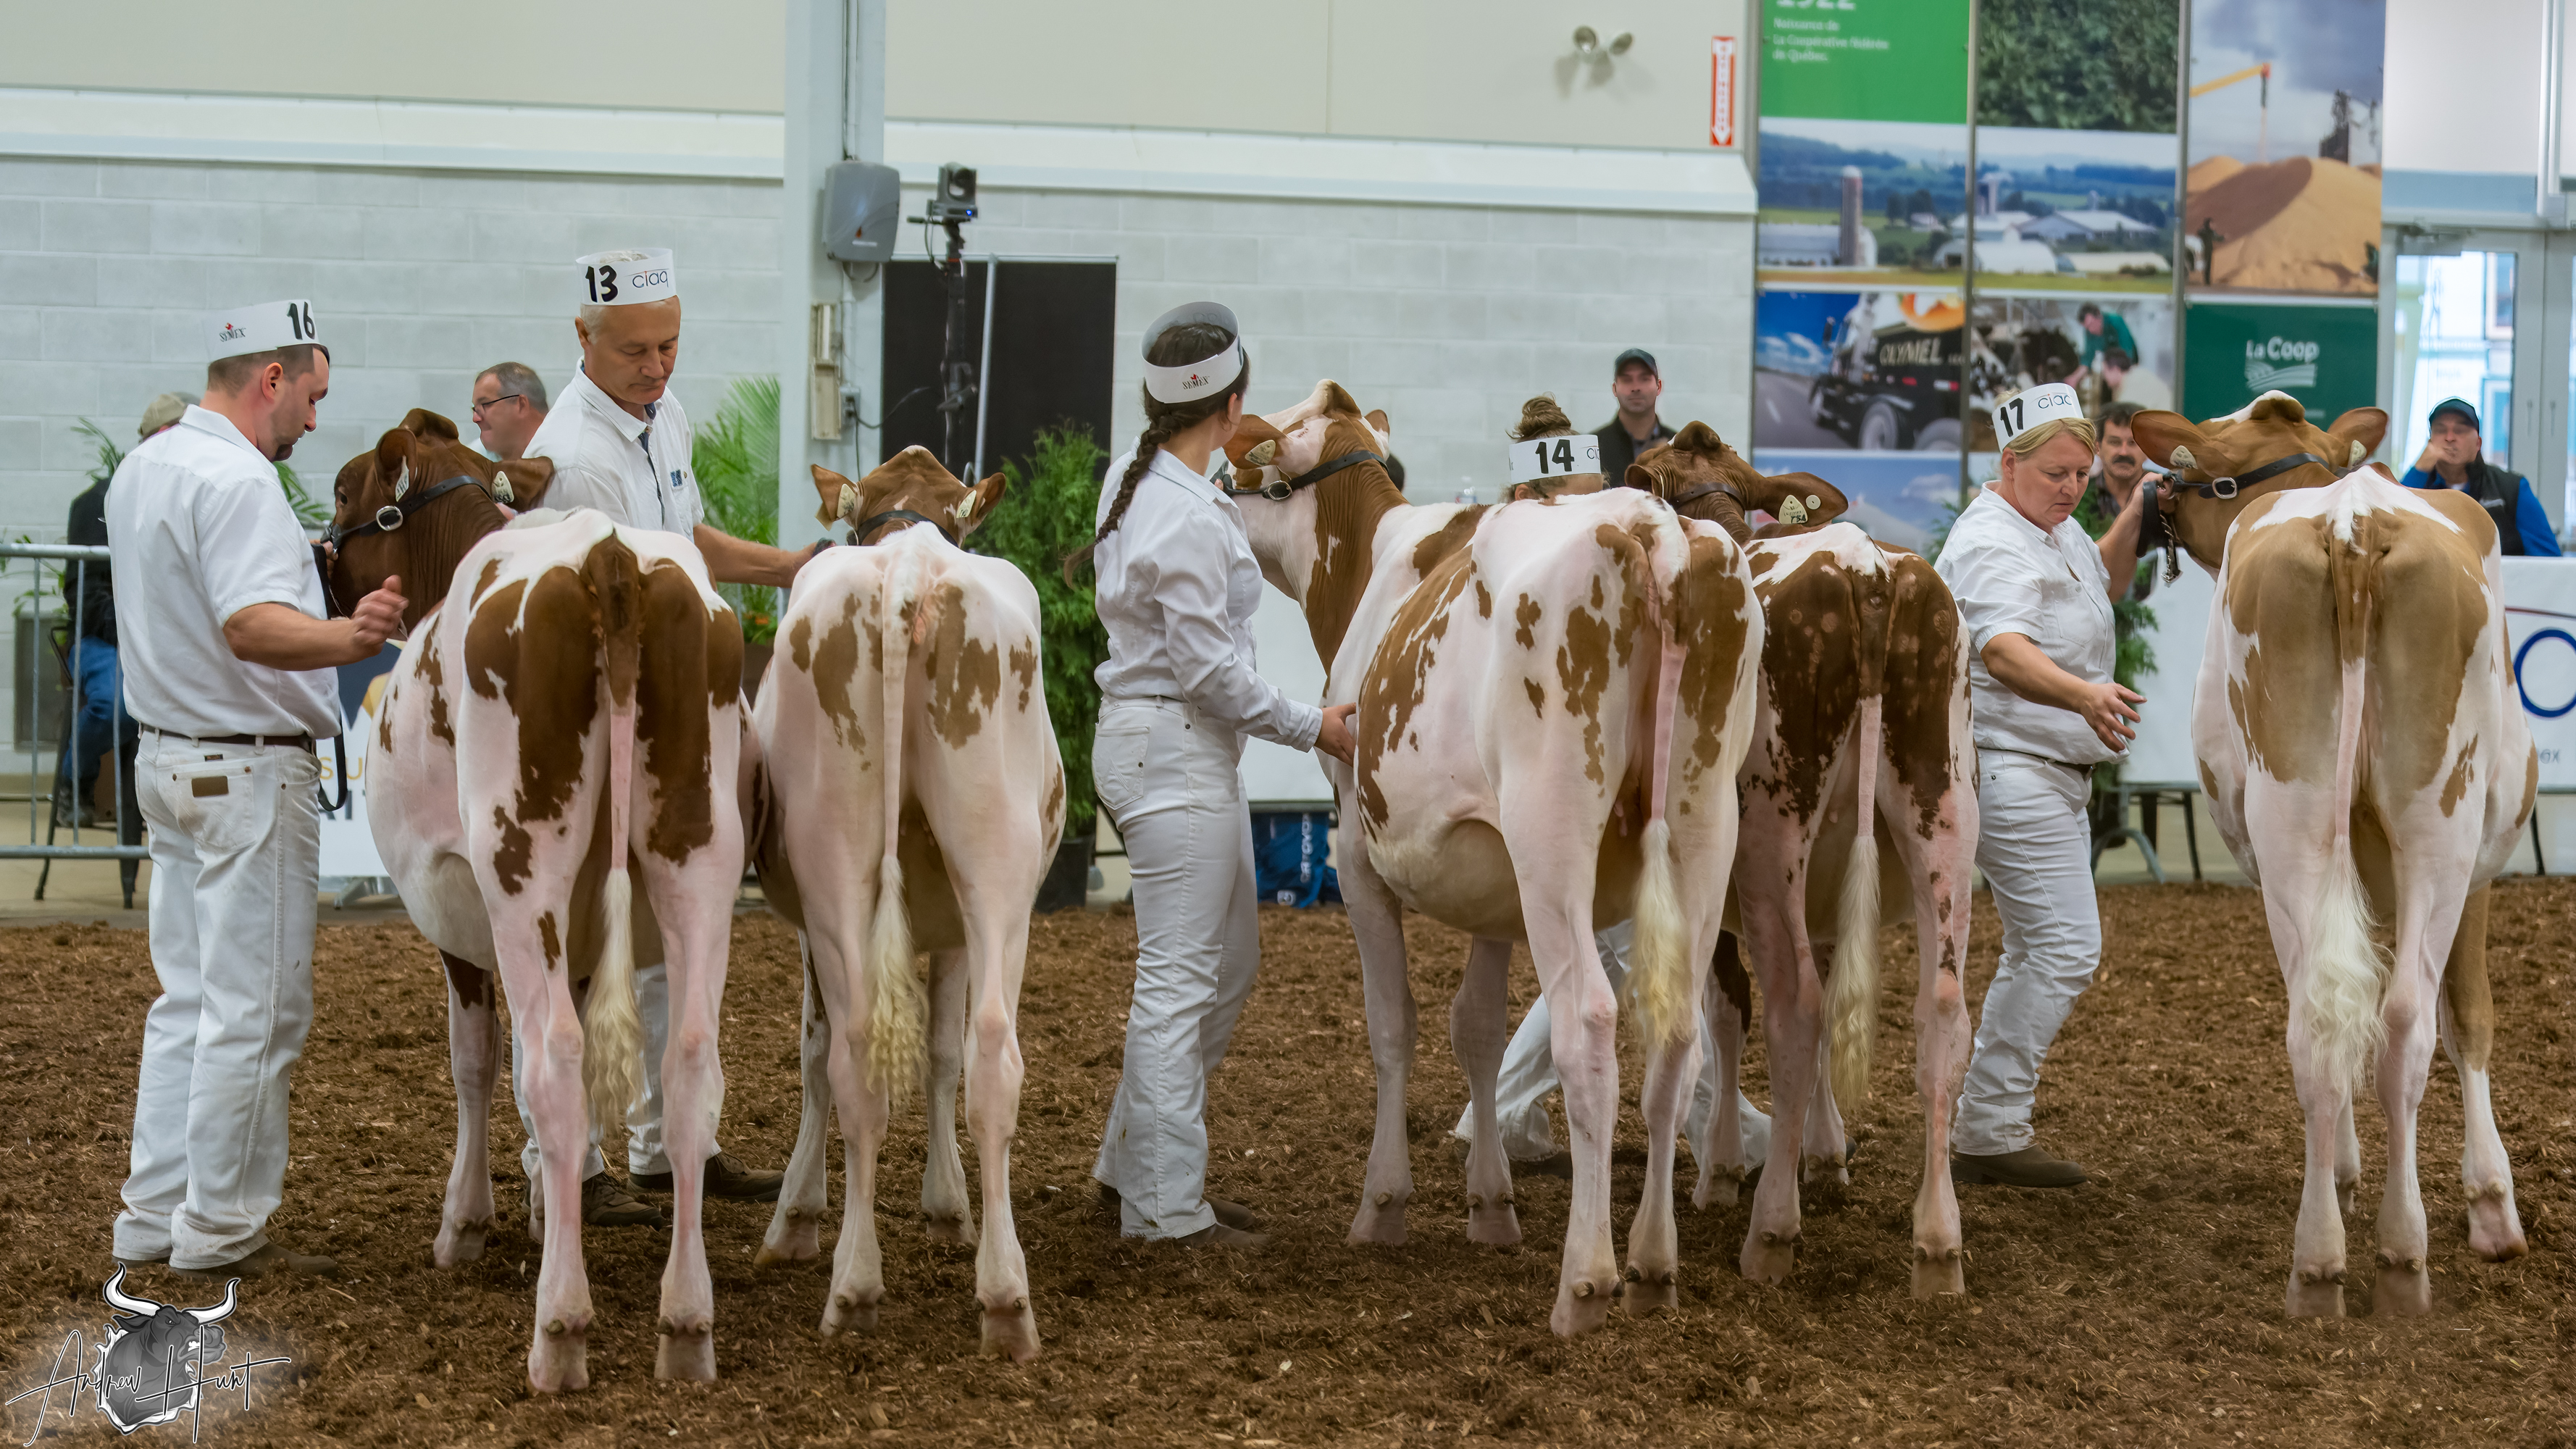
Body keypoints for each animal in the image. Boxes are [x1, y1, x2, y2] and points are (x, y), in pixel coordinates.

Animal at [326, 411, 745, 1390]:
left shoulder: (457, 911)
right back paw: (686, 1323)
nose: (320, 562)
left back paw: (560, 1328)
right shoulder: (585, 935)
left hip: (523, 869)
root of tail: (606, 555)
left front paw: (468, 1221)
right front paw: (557, 1207)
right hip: (701, 852)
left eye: (342, 487)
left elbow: (480, 1062)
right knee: (688, 1064)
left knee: (551, 1057)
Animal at [734, 451, 1063, 1362]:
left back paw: (857, 1282)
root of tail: (912, 565)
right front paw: (947, 1205)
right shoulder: (946, 924)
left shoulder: (819, 926)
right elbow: (939, 1053)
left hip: (838, 878)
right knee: (989, 1057)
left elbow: (819, 1052)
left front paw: (797, 1215)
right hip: (995, 878)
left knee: (858, 1057)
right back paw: (1000, 1297)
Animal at [1222, 381, 1763, 1336]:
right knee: (1678, 1031)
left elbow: (1393, 1022)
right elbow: (1474, 1023)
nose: (1210, 486)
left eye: (1259, 450)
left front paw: (1384, 1202)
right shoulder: (1494, 878)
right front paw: (1491, 1204)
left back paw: (1586, 1277)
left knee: (1590, 1020)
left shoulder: (1356, 854)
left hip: (1555, 832)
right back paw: (1653, 1261)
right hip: (1701, 827)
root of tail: (1653, 529)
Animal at [1627, 426, 1982, 1295]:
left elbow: (1728, 1009)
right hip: (1943, 803)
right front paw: (1825, 1154)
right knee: (1941, 1008)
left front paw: (1722, 1169)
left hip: (1770, 833)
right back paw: (1937, 1241)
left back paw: (1771, 1232)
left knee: (1798, 1005)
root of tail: (1867, 568)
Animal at [2129, 392, 2532, 1316]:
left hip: (2294, 819)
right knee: (2403, 1021)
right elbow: (2471, 1017)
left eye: (2193, 467)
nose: (2151, 499)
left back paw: (2324, 1259)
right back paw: (2393, 1248)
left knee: (2327, 1019)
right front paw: (2491, 1201)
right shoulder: (2482, 864)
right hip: (2437, 824)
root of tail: (2352, 523)